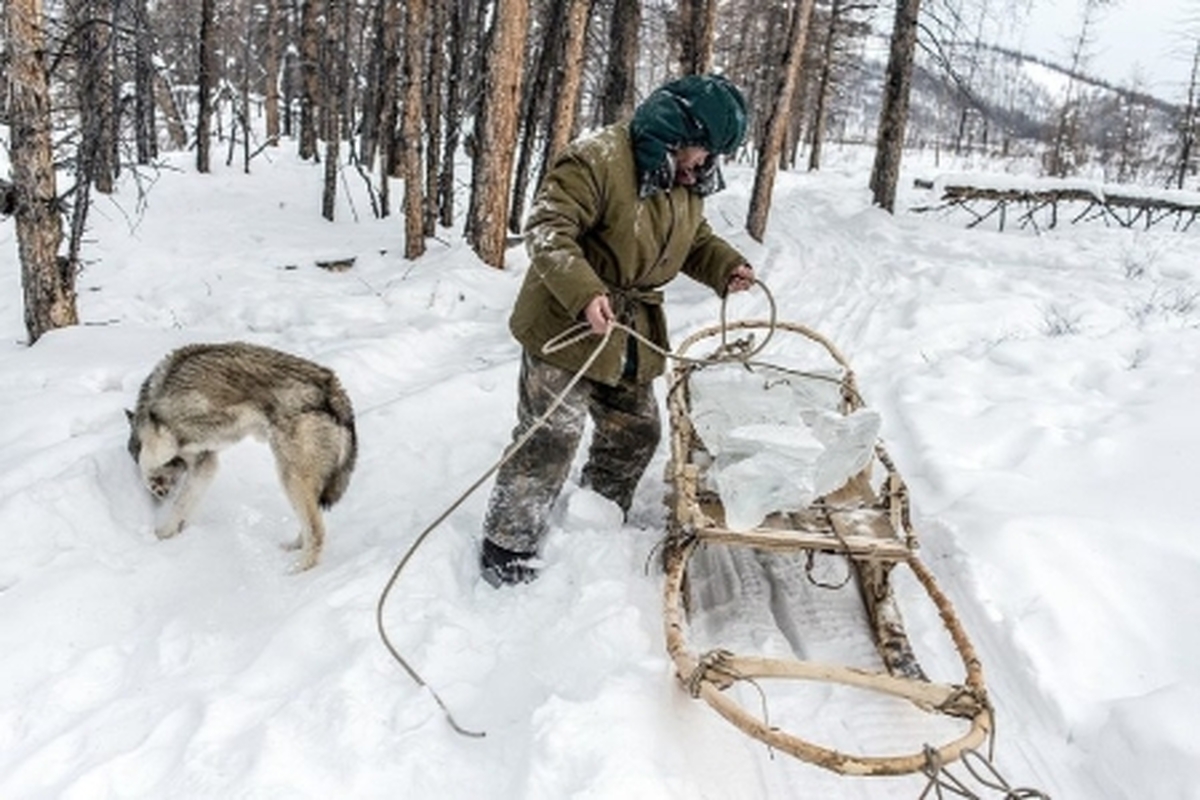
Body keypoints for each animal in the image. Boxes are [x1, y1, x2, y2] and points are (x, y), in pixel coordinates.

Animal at [130, 340, 357, 573]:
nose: (161, 494)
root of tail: (334, 390)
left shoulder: (161, 439)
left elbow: (146, 462)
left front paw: (154, 486)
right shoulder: (206, 463)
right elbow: (182, 503)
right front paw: (167, 534)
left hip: (290, 478)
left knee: (317, 531)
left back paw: (298, 571)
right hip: (301, 483)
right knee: (309, 524)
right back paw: (293, 547)